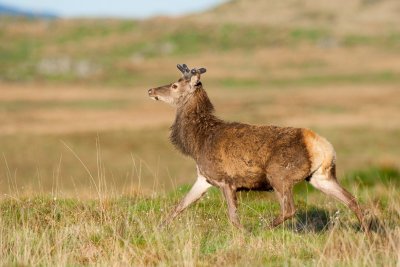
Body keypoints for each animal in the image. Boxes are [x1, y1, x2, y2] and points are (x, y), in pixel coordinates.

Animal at [148, 64, 368, 232]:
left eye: (175, 85)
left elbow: (233, 216)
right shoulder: (204, 178)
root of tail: (322, 146)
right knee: (352, 199)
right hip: (321, 176)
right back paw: (366, 233)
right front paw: (157, 229)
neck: (196, 143)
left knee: (289, 209)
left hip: (279, 174)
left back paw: (263, 228)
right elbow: (180, 205)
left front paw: (244, 233)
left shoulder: (226, 179)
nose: (151, 90)